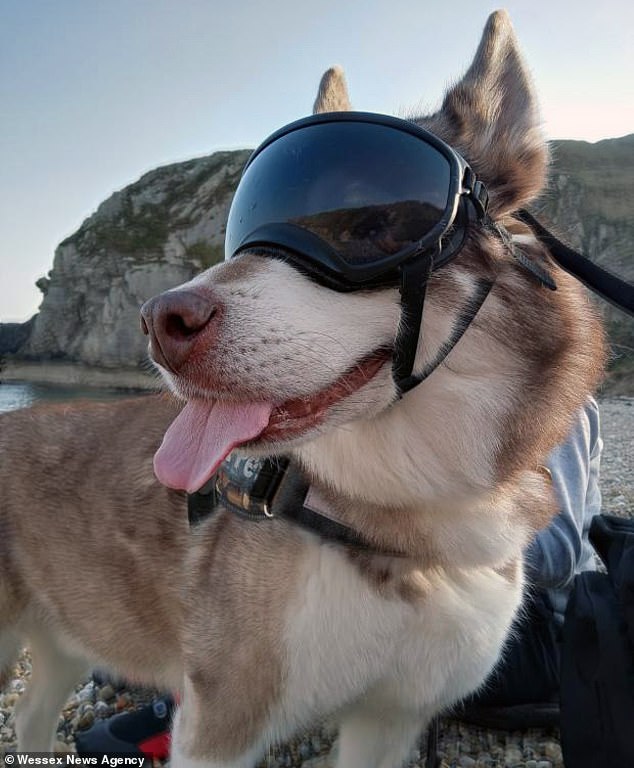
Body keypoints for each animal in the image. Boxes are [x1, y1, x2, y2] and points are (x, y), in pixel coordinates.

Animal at [0, 10, 604, 768]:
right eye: (246, 223)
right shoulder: (220, 726)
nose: (159, 321)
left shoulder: (392, 718)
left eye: (372, 222)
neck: (398, 523)